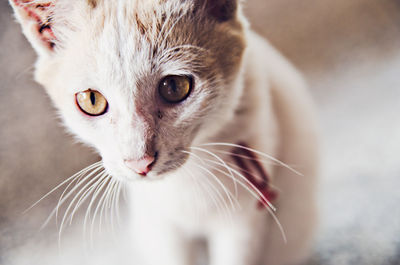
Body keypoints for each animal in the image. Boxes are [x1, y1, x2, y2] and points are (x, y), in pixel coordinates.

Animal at [9, 0, 318, 264]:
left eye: (174, 87)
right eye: (92, 100)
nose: (139, 162)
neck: (185, 181)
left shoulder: (244, 223)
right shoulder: (161, 228)